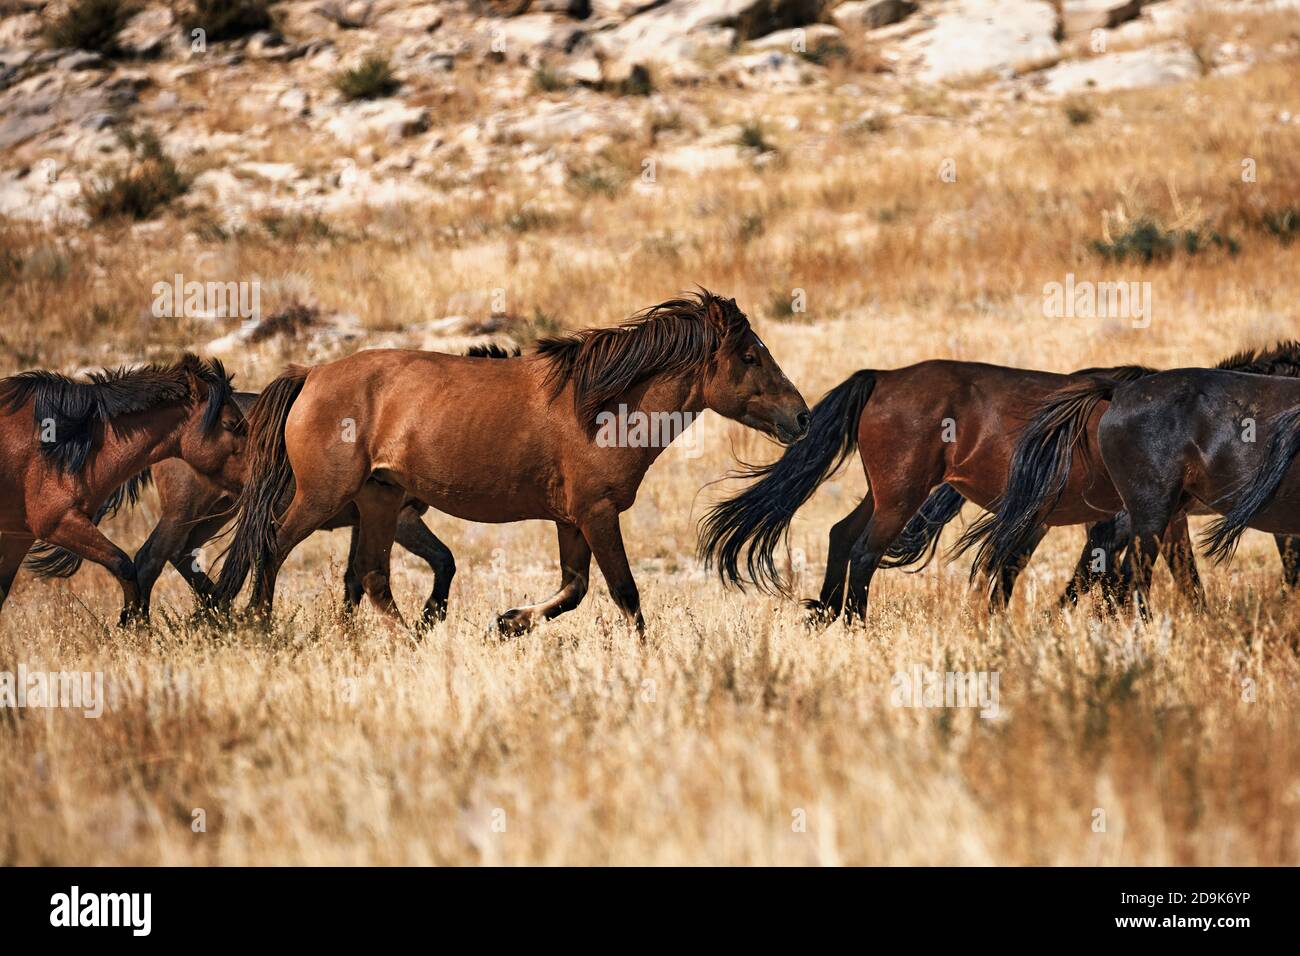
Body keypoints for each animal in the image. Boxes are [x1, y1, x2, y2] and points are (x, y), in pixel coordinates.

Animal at [217, 291, 806, 634]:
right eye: (749, 356)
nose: (800, 418)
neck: (602, 406)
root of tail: (310, 374)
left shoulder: (572, 520)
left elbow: (573, 590)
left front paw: (509, 623)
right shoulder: (596, 514)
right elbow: (625, 594)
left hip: (380, 499)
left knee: (371, 576)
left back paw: (410, 640)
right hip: (324, 496)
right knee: (273, 544)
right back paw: (259, 625)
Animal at [696, 361, 1154, 624]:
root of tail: (882, 378)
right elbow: (1104, 571)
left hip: (885, 493)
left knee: (842, 534)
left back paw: (826, 614)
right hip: (901, 496)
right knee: (865, 550)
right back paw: (856, 625)